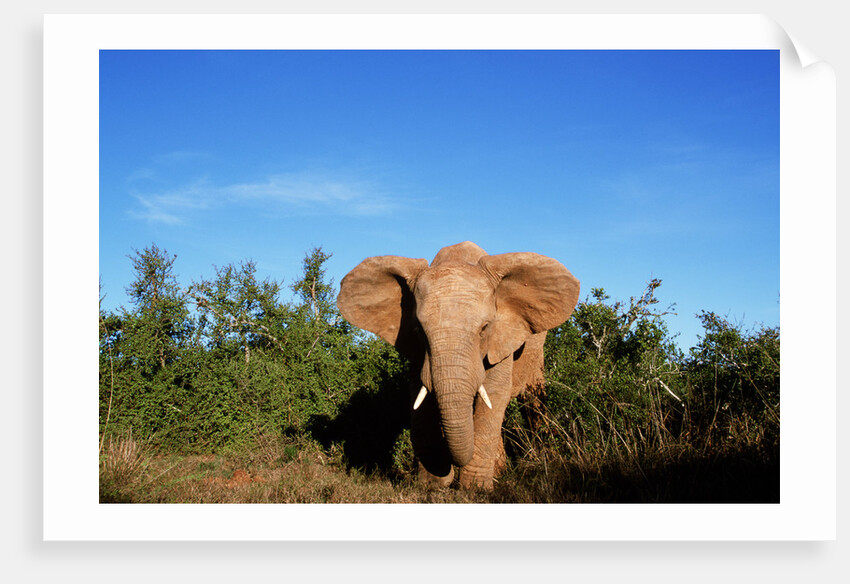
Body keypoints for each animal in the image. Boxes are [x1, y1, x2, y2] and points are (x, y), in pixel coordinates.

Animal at [336, 241, 579, 489]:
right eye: (418, 330)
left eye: (485, 328)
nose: (452, 472)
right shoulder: (417, 350)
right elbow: (419, 394)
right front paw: (433, 485)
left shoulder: (501, 339)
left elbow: (495, 391)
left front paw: (476, 489)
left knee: (533, 399)